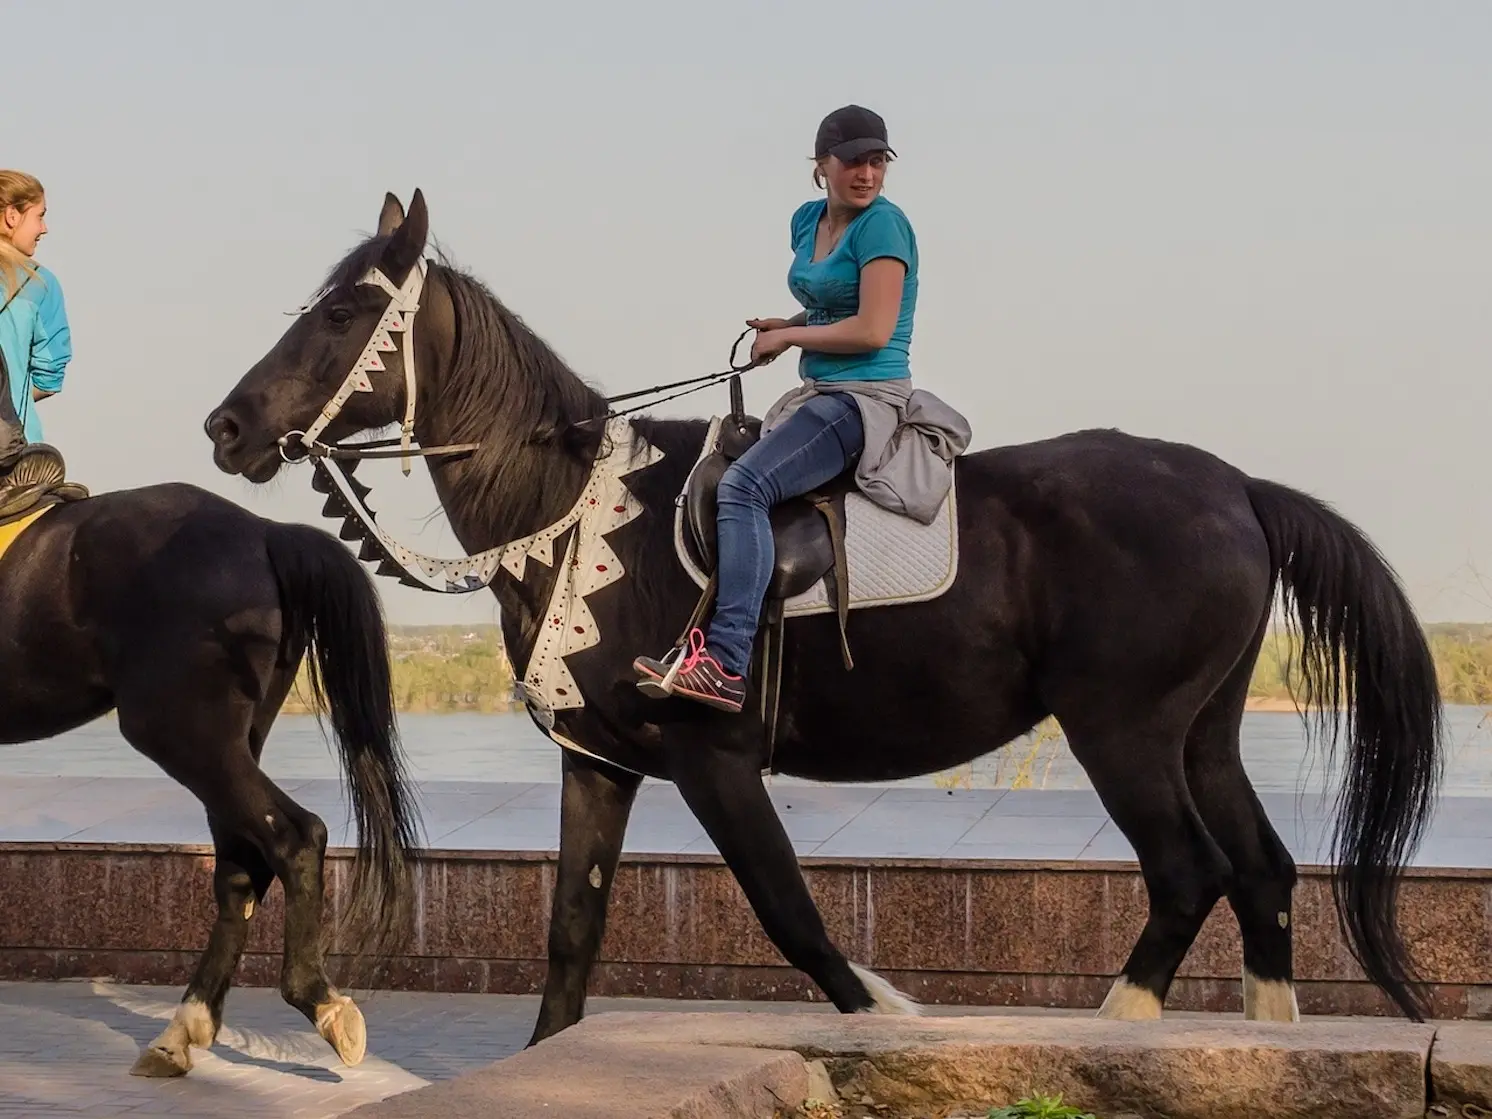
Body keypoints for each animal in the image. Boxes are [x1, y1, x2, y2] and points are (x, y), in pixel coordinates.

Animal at [0, 483, 423, 1080]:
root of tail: (266, 530)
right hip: (233, 739)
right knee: (241, 869)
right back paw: (184, 1029)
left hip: (183, 733)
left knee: (293, 836)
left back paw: (317, 1000)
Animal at [207, 188, 1444, 1038]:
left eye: (348, 312)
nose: (227, 425)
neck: (580, 516)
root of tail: (1237, 487)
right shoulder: (597, 763)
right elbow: (570, 932)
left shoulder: (711, 759)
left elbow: (795, 921)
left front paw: (891, 1023)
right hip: (1202, 731)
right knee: (1262, 874)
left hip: (1123, 731)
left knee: (1188, 874)